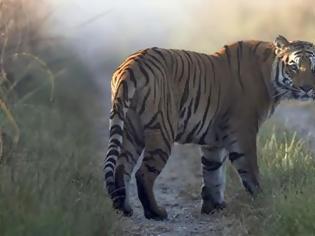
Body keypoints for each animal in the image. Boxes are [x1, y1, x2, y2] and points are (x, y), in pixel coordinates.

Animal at [104, 36, 315, 220]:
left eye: (313, 67)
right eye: (294, 67)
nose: (307, 88)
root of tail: (130, 66)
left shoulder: (215, 140)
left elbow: (213, 172)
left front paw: (213, 207)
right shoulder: (243, 131)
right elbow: (250, 170)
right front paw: (263, 201)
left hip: (131, 131)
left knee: (122, 168)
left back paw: (124, 208)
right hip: (161, 131)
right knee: (143, 174)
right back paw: (155, 212)